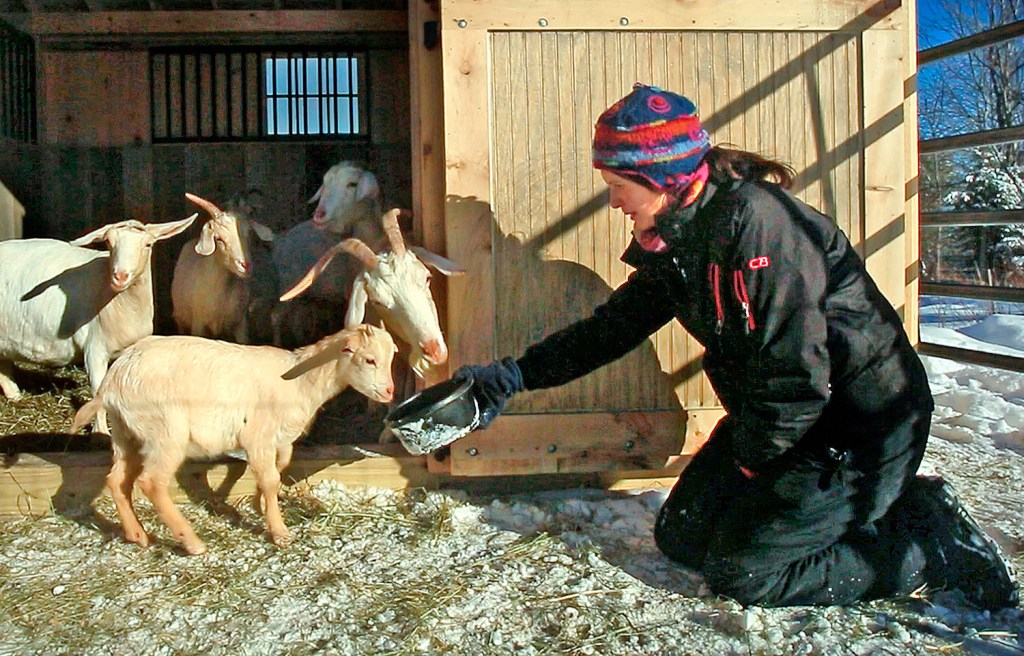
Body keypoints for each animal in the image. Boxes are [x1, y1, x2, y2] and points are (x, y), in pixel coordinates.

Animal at [70, 323, 397, 552]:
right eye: (369, 360)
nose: (390, 391)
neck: (301, 382)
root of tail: (112, 383)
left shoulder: (278, 439)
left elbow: (278, 469)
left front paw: (260, 503)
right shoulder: (258, 435)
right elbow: (271, 479)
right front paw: (280, 532)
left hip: (127, 433)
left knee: (116, 479)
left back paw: (136, 534)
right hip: (165, 431)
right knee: (152, 482)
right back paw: (192, 543)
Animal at [172, 189, 276, 343]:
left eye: (249, 234)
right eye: (218, 239)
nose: (245, 265)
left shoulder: (241, 325)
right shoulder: (198, 323)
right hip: (181, 319)